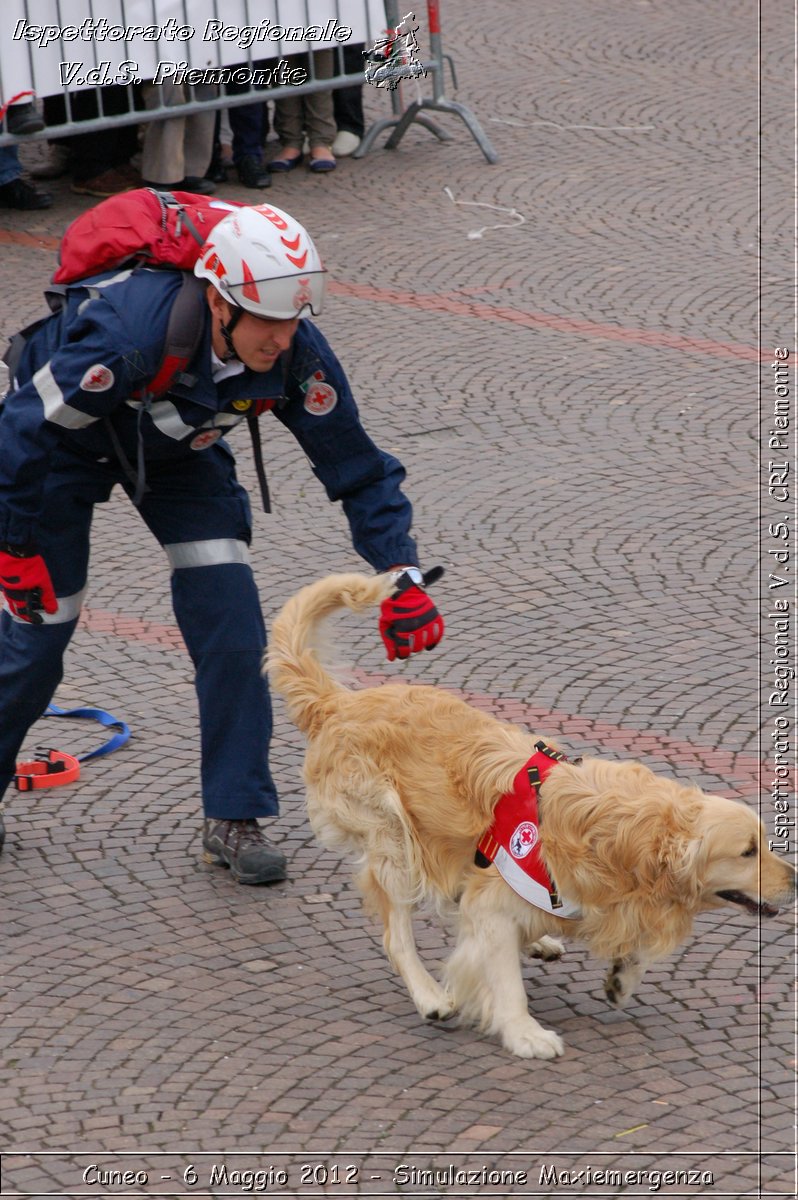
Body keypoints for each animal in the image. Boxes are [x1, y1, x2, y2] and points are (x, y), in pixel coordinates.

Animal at [268, 576, 796, 1056]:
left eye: (765, 842)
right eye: (748, 851)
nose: (795, 879)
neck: (624, 838)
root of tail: (339, 703)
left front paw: (622, 975)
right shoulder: (493, 902)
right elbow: (503, 975)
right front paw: (524, 1033)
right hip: (394, 840)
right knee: (396, 934)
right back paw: (431, 996)